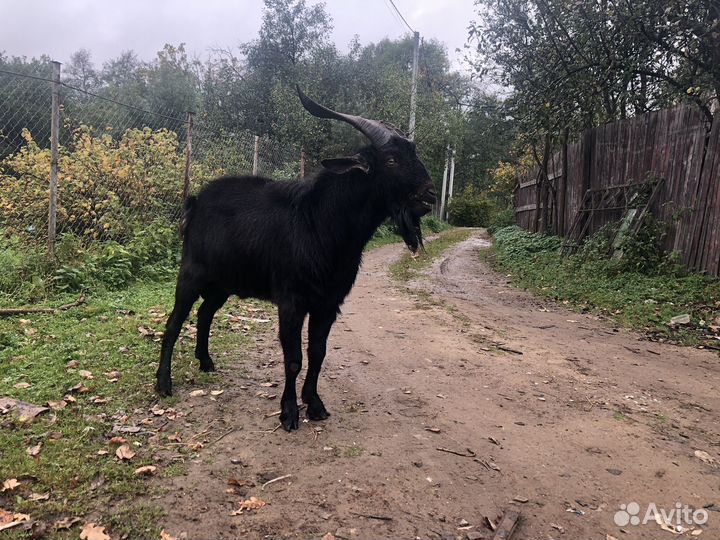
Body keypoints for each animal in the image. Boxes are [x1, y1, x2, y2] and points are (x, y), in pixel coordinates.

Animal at [156, 88, 437, 431]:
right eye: (392, 160)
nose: (430, 195)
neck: (320, 224)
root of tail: (195, 201)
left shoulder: (328, 304)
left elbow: (317, 353)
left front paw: (314, 404)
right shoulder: (292, 301)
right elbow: (293, 358)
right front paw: (289, 412)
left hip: (224, 283)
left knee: (205, 313)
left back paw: (206, 361)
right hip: (191, 273)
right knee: (174, 322)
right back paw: (163, 383)